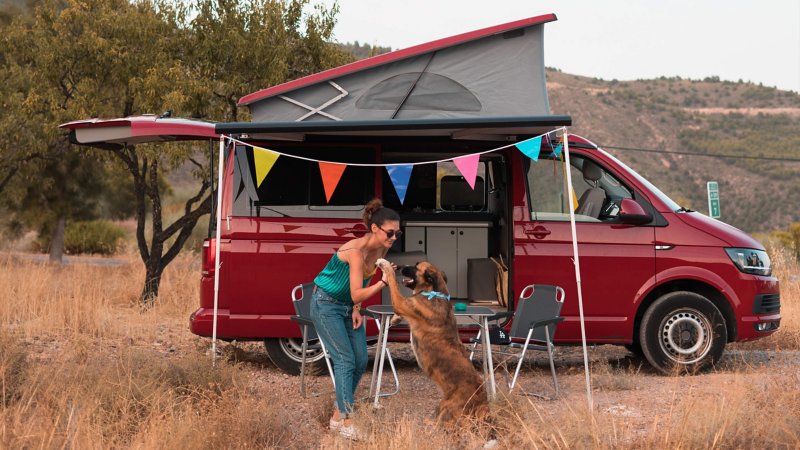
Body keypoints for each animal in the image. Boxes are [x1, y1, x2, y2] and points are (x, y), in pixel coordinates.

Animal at [376, 258, 494, 442]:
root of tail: (482, 399)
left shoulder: (402, 302)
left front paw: (385, 264)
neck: (434, 292)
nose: (401, 266)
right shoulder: (405, 305)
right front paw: (395, 319)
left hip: (448, 415)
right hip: (442, 409)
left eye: (416, 266)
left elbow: (393, 282)